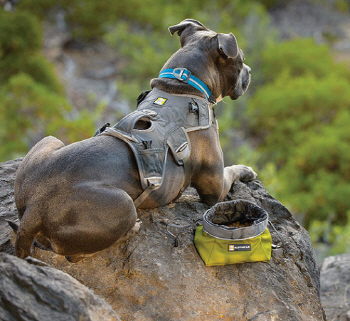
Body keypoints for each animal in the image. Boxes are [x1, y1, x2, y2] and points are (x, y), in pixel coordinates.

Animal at [13, 18, 256, 262]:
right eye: (242, 59)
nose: (250, 70)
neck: (184, 85)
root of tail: (34, 209)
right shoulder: (214, 188)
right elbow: (231, 171)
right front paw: (246, 170)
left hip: (49, 141)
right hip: (124, 204)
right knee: (76, 255)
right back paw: (132, 229)